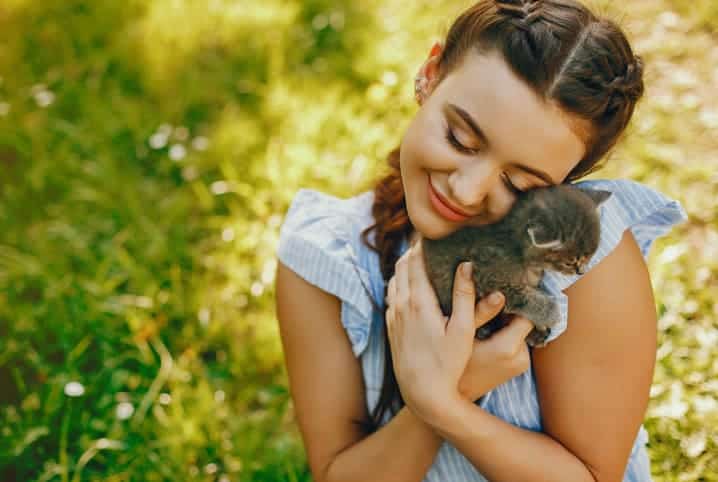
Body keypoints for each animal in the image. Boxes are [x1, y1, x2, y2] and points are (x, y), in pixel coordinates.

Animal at [422, 184, 612, 346]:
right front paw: (550, 313)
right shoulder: (487, 276)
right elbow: (522, 297)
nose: (581, 272)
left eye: (589, 258)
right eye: (570, 262)